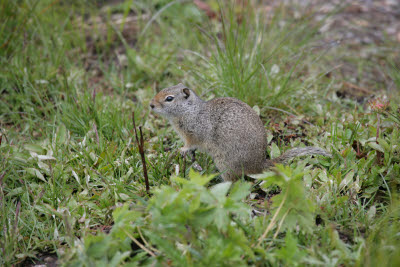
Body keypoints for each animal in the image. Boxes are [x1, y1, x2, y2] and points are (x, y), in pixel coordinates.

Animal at [150, 82, 332, 181]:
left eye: (169, 98)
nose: (151, 105)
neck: (190, 111)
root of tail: (259, 164)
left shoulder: (193, 133)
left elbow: (190, 143)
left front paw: (182, 149)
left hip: (225, 163)